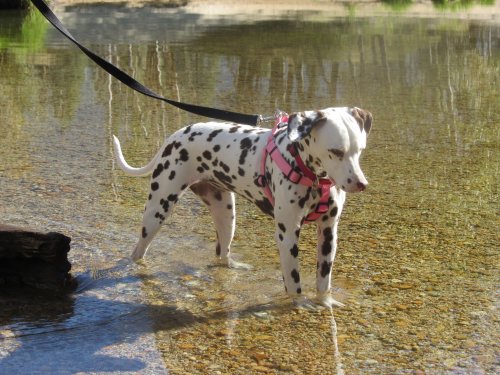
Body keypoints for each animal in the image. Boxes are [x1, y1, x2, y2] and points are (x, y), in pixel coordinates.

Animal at [113, 106, 372, 308]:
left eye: (360, 150)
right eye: (336, 152)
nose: (361, 184)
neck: (312, 175)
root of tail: (176, 136)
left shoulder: (328, 233)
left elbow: (323, 280)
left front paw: (325, 301)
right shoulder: (287, 235)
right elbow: (293, 282)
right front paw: (299, 303)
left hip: (226, 216)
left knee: (222, 252)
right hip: (157, 211)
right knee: (138, 250)